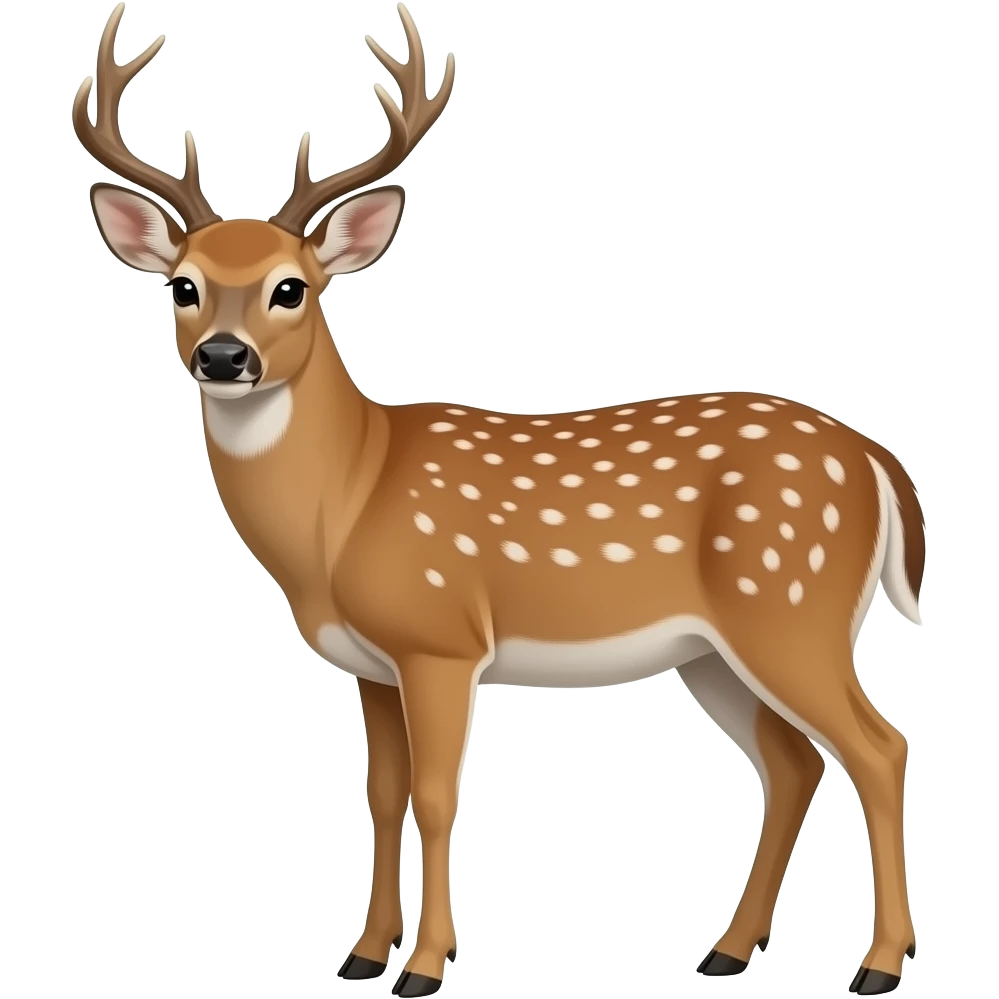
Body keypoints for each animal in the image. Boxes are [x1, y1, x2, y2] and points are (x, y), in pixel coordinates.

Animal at [72, 4, 924, 996]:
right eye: (183, 286)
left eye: (293, 287)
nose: (222, 355)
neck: (345, 505)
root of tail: (874, 458)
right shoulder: (370, 662)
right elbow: (381, 795)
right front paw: (362, 954)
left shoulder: (439, 636)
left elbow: (437, 796)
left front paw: (424, 965)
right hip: (713, 649)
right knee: (792, 763)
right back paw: (726, 949)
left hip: (792, 605)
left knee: (878, 745)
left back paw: (877, 964)